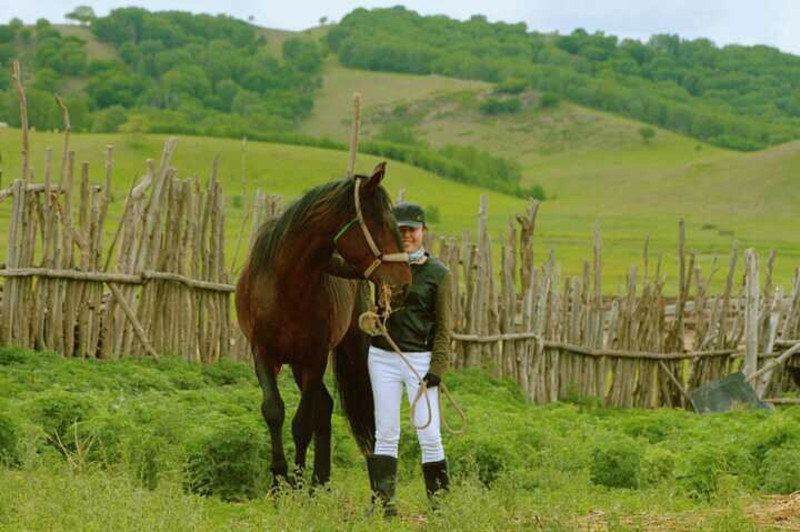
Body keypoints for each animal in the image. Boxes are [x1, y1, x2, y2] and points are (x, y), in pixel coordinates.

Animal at [234, 164, 410, 488]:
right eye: (379, 223)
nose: (404, 283)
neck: (287, 283)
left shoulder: (313, 358)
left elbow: (303, 423)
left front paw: (296, 482)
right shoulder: (263, 352)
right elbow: (274, 410)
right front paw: (278, 479)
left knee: (335, 408)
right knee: (324, 406)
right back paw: (319, 481)